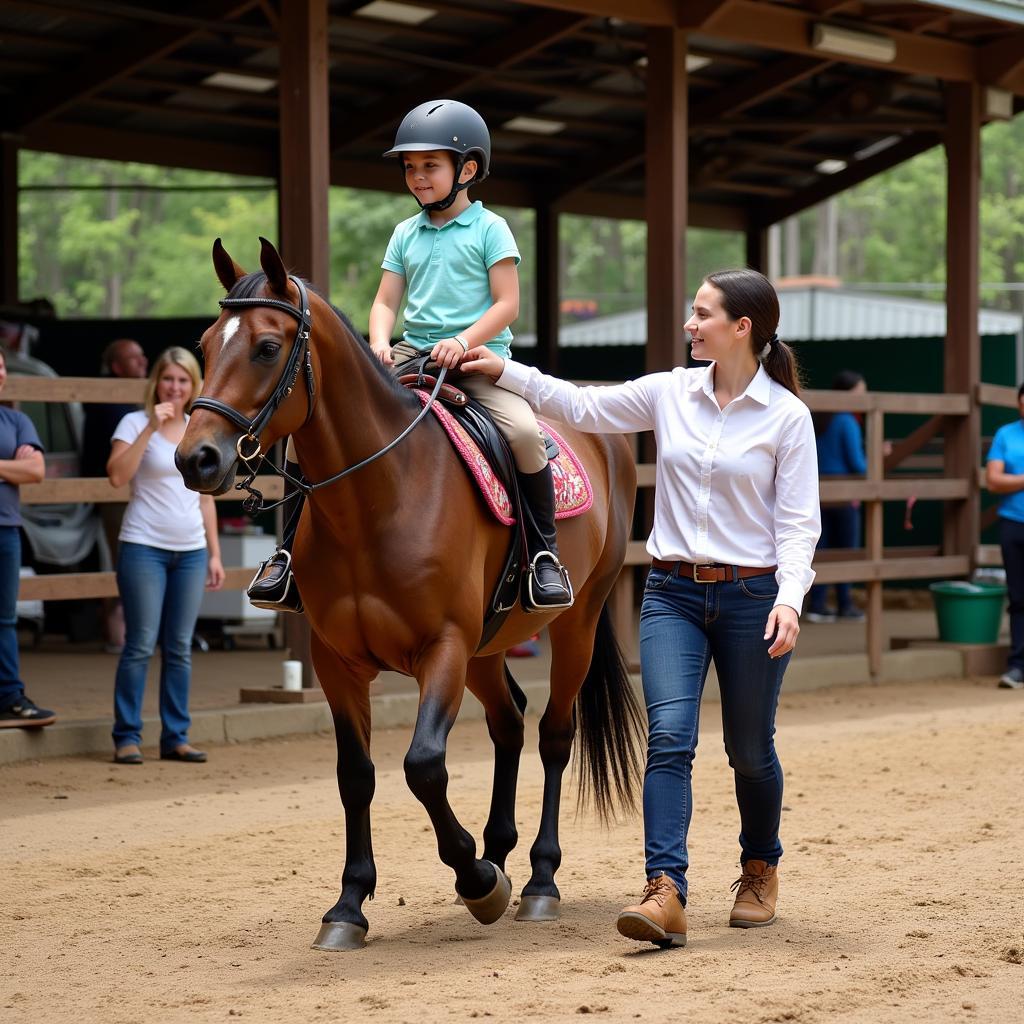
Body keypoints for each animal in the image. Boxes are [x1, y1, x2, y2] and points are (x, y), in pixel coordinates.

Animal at [176, 239, 638, 950]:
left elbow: (423, 764)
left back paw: (535, 881)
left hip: (575, 623)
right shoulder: (337, 661)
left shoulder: (441, 647)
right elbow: (356, 775)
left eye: (266, 347)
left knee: (554, 734)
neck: (379, 497)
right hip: (487, 646)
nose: (194, 458)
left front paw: (475, 881)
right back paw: (497, 856)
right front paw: (349, 905)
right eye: (204, 343)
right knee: (509, 721)